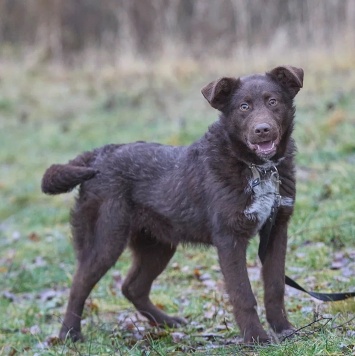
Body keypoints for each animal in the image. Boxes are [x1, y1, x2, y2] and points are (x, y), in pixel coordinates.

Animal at [41, 65, 304, 344]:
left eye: (273, 101)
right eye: (244, 107)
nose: (262, 129)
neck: (258, 168)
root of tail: (97, 155)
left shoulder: (277, 229)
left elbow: (275, 287)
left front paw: (283, 328)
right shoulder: (229, 238)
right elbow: (243, 294)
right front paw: (256, 338)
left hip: (158, 244)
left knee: (132, 287)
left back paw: (166, 323)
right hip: (106, 240)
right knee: (79, 283)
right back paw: (69, 334)